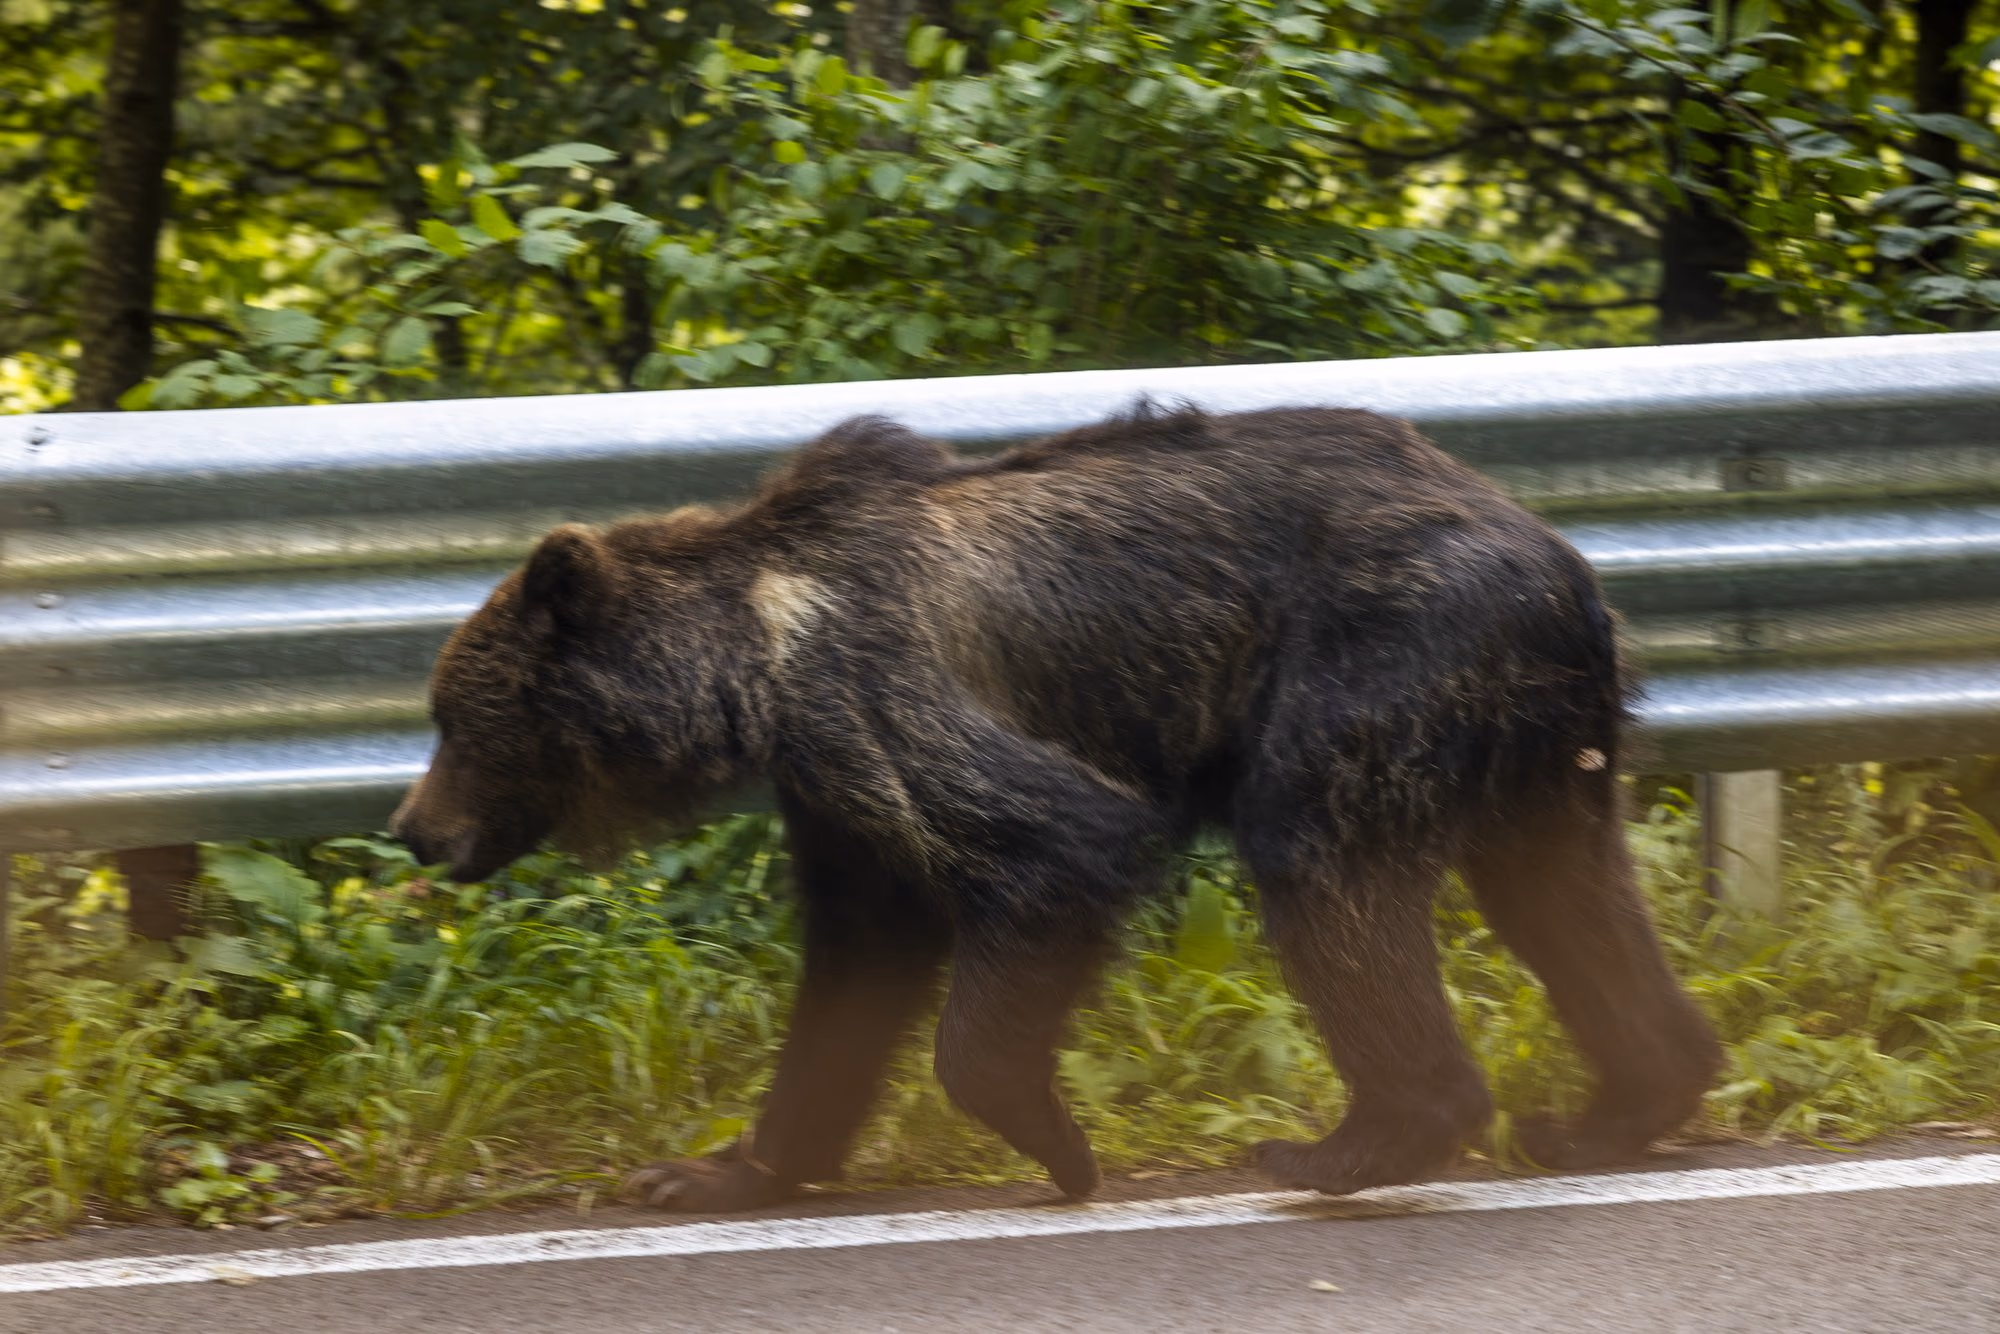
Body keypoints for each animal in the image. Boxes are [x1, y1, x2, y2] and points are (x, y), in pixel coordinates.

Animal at [389, 403, 1723, 1212]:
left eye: (455, 718)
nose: (413, 826)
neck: (745, 671)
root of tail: (1560, 555)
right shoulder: (832, 784)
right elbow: (855, 961)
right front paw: (716, 1166)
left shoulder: (872, 694)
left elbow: (1052, 847)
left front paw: (1056, 1140)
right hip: (1538, 733)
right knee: (1564, 889)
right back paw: (1609, 1109)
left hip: (1383, 653)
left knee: (1322, 857)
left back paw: (1353, 1136)